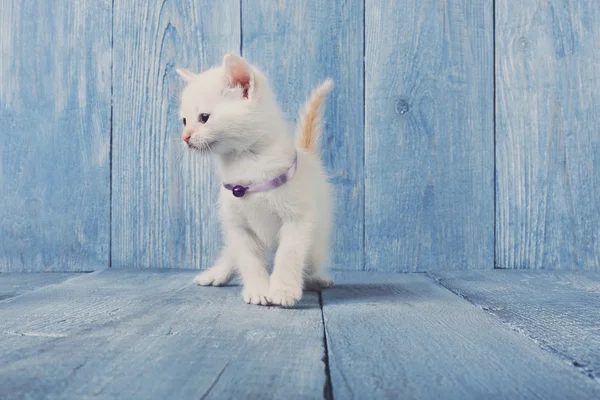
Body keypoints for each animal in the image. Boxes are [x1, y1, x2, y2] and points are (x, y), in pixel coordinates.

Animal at [176, 54, 336, 306]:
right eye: (184, 121)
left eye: (204, 118)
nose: (185, 137)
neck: (246, 162)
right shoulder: (238, 226)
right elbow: (248, 259)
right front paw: (259, 290)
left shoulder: (297, 220)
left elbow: (289, 254)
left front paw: (283, 290)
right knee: (232, 252)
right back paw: (217, 273)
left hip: (317, 234)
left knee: (312, 259)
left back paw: (317, 277)